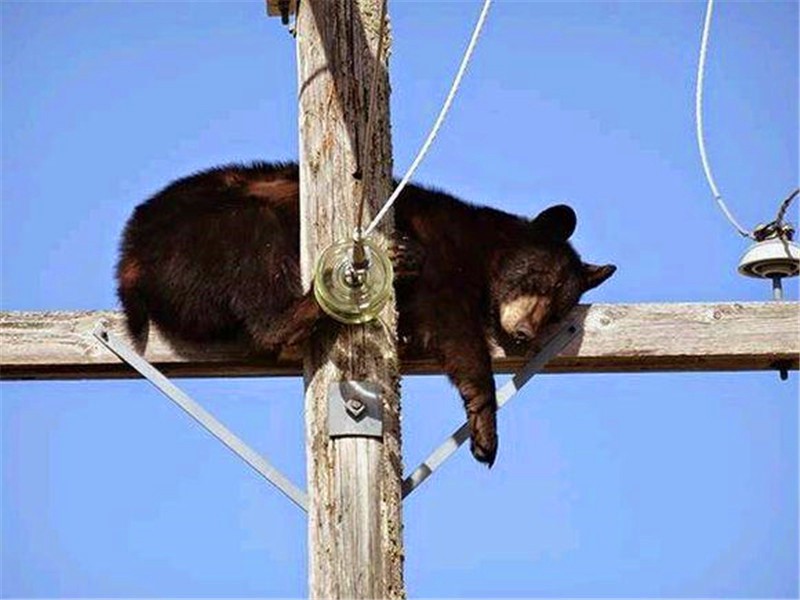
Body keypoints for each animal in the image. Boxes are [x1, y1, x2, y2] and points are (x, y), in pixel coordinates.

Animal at [119, 162, 616, 466]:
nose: (526, 332)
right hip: (205, 236)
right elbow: (457, 333)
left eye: (558, 309)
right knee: (255, 245)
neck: (480, 250)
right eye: (538, 281)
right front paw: (485, 428)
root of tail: (130, 259)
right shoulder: (445, 258)